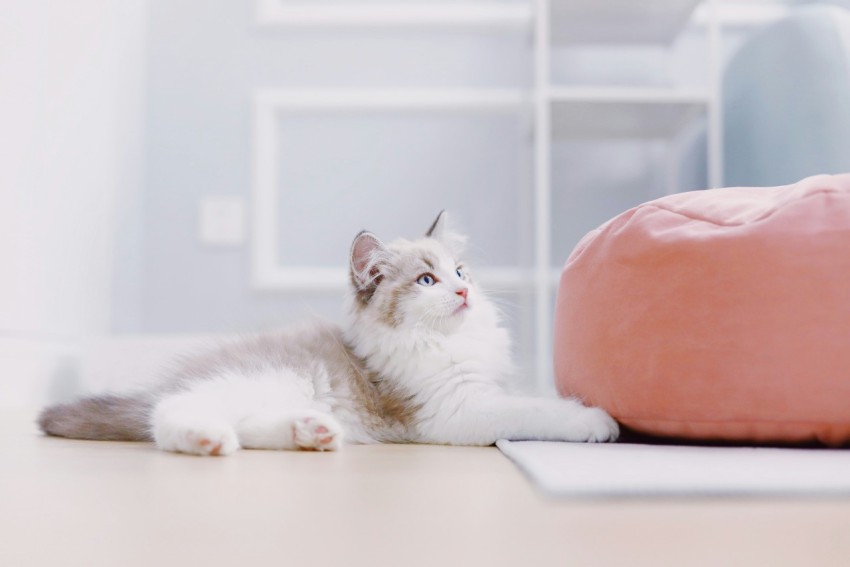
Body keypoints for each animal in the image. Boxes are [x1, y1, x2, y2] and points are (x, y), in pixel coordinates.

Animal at [38, 213, 616, 458]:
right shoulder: (456, 409)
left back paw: (309, 433)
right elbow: (534, 409)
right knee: (170, 414)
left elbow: (533, 395)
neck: (444, 343)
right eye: (426, 281)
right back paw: (206, 439)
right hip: (261, 380)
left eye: (460, 272)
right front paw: (595, 421)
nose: (464, 293)